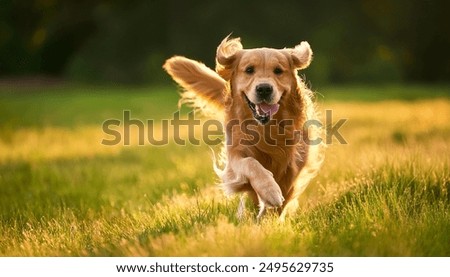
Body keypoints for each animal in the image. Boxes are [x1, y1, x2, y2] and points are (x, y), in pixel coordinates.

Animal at [163, 35, 326, 219]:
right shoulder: (235, 155)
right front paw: (270, 191)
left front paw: (270, 212)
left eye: (278, 70)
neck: (266, 128)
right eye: (249, 70)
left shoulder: (295, 162)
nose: (264, 89)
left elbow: (285, 188)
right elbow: (251, 164)